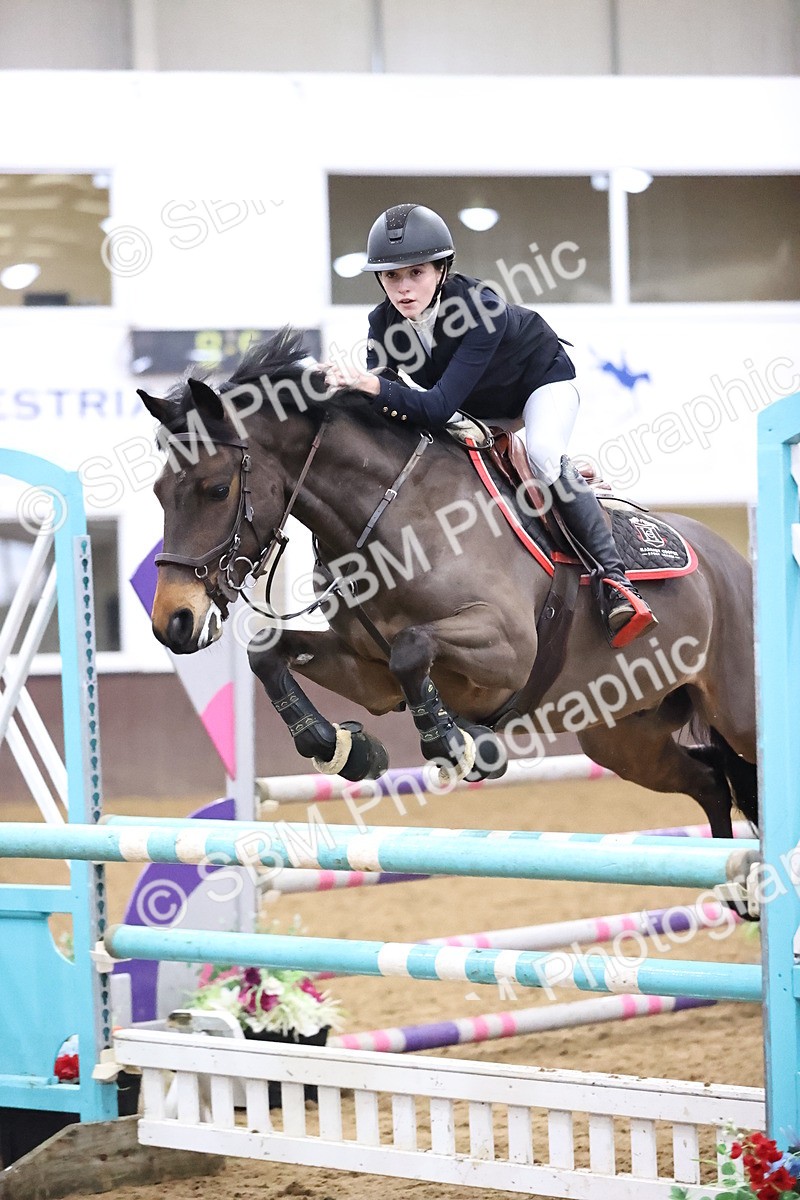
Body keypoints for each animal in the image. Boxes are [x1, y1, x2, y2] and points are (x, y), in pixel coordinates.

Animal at [138, 328, 758, 839]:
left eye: (217, 489)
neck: (395, 519)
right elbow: (267, 653)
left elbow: (414, 647)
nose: (174, 622)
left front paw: (455, 743)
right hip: (623, 733)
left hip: (736, 713)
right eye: (159, 493)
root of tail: (735, 561)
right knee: (710, 783)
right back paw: (738, 891)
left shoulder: (509, 647)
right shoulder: (371, 675)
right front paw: (343, 748)